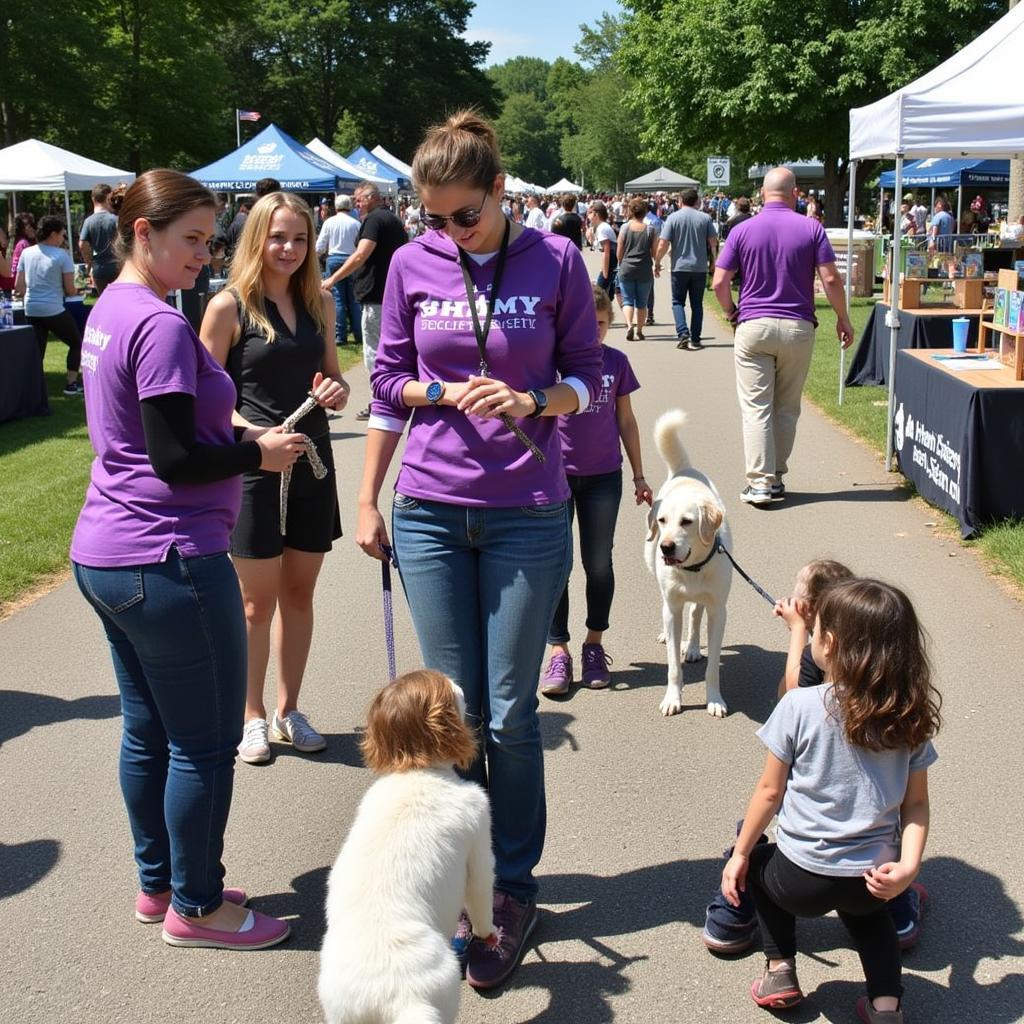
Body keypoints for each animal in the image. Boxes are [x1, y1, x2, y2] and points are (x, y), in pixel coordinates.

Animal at [319, 671, 495, 1024]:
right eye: (451, 691)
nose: (460, 686)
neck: (418, 769)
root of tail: (389, 999)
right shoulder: (479, 822)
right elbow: (481, 890)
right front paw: (490, 933)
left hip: (341, 1012)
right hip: (440, 992)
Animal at [643, 411, 733, 716]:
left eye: (687, 522)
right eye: (662, 521)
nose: (666, 546)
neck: (692, 569)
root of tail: (685, 471)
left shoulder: (719, 611)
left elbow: (713, 666)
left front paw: (715, 699)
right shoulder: (672, 608)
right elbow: (672, 665)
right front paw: (673, 698)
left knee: (695, 613)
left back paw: (692, 647)